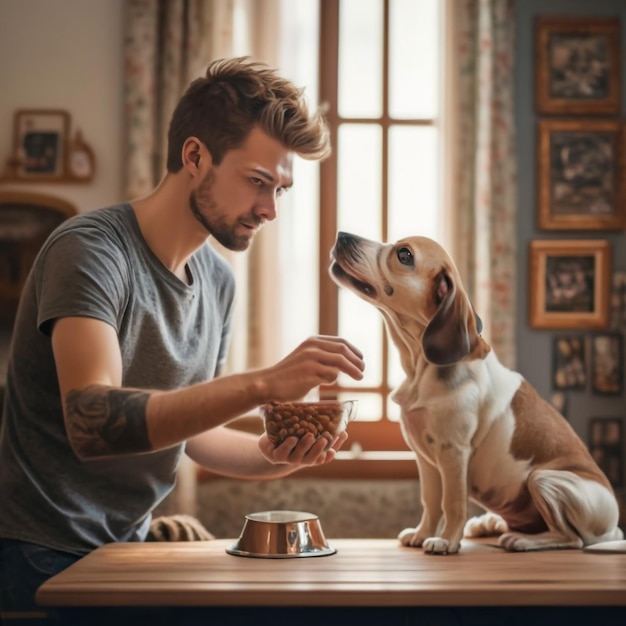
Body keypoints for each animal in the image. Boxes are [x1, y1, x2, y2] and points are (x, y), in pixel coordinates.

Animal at [330, 230, 620, 552]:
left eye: (404, 255)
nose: (342, 235)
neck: (420, 367)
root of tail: (613, 530)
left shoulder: (453, 453)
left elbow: (452, 503)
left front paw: (446, 541)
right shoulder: (424, 458)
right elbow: (430, 502)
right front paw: (422, 533)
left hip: (543, 479)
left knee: (571, 538)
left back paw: (521, 540)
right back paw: (488, 524)